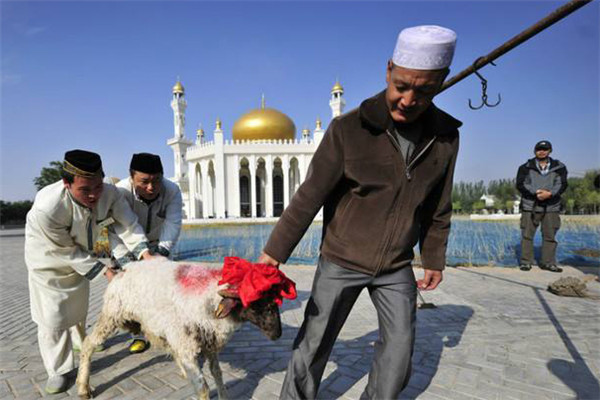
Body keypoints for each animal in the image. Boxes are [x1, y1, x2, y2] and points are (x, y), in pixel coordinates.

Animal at [77, 258, 298, 398]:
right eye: (259, 304)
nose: (277, 334)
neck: (209, 297)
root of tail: (124, 269)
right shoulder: (189, 342)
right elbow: (203, 388)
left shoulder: (209, 341)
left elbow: (217, 374)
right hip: (112, 314)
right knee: (88, 344)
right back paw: (83, 387)